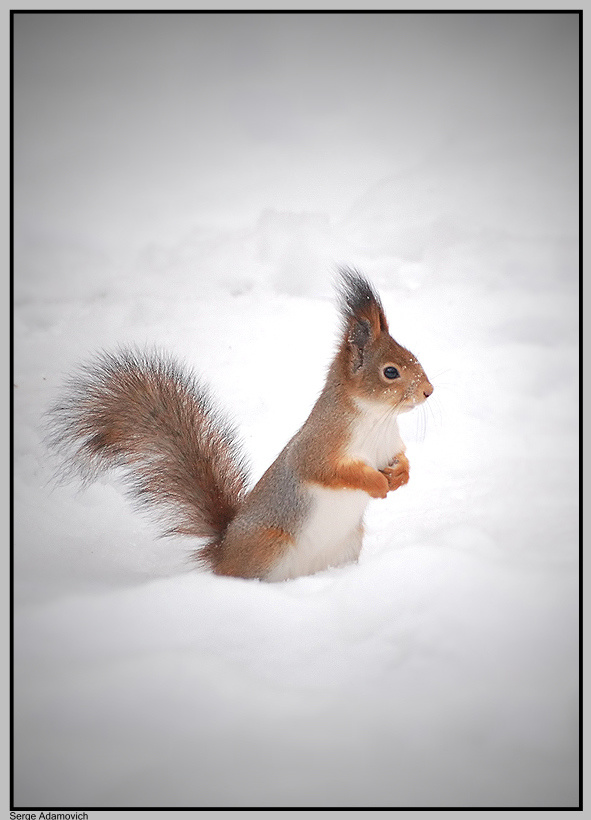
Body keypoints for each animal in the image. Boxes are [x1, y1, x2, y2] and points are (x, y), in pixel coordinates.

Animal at [47, 268, 433, 582]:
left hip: (347, 545)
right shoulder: (320, 447)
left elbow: (402, 460)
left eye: (414, 356)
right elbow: (331, 471)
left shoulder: (389, 447)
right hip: (270, 546)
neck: (377, 419)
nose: (429, 391)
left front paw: (400, 476)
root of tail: (223, 554)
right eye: (390, 372)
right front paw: (376, 484)